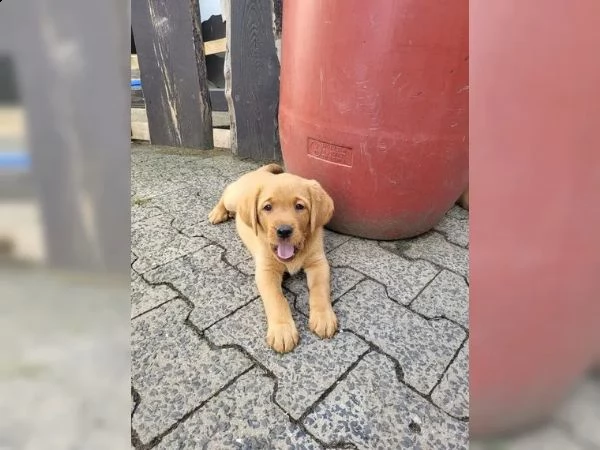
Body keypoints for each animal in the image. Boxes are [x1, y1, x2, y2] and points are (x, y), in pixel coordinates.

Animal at [209, 163, 336, 354]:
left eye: (300, 206)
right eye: (267, 207)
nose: (283, 231)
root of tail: (259, 172)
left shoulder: (318, 263)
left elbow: (320, 289)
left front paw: (323, 317)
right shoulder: (266, 272)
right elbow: (276, 299)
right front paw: (282, 331)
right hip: (234, 196)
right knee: (226, 193)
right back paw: (218, 212)